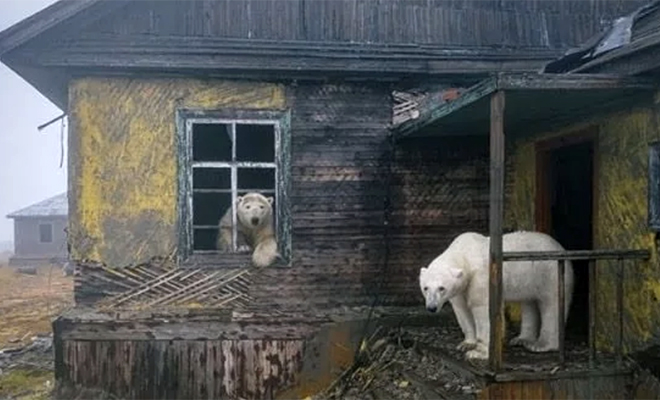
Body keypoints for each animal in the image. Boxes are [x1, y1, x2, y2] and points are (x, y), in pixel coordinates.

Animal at [420, 230, 576, 360]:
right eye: (425, 288)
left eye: (441, 288)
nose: (431, 308)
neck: (465, 254)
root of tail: (560, 247)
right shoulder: (461, 288)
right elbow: (462, 310)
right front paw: (467, 344)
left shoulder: (481, 278)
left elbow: (483, 311)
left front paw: (478, 353)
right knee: (529, 303)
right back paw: (522, 339)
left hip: (549, 273)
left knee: (552, 305)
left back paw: (541, 345)